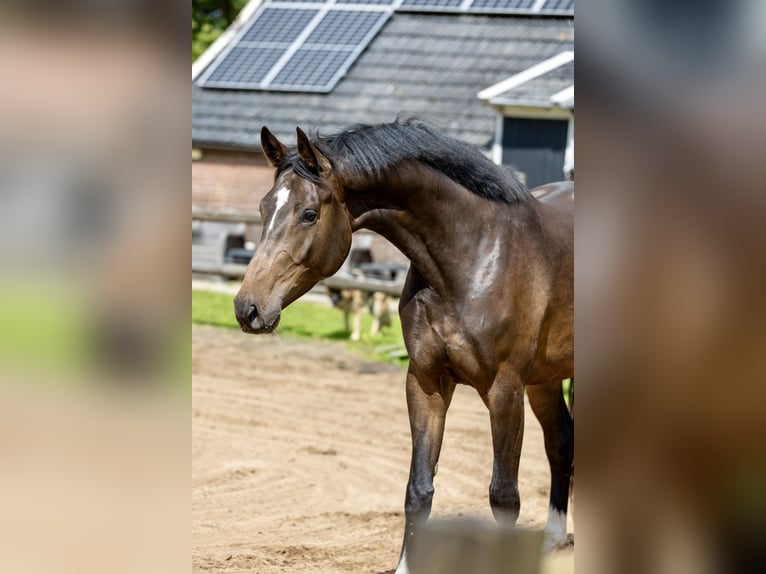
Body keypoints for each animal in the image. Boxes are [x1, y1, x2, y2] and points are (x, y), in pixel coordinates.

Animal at [234, 119, 573, 573]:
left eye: (308, 214)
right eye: (263, 208)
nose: (247, 308)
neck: (472, 256)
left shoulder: (505, 390)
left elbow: (504, 496)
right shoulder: (426, 381)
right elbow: (419, 489)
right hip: (545, 378)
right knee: (561, 440)